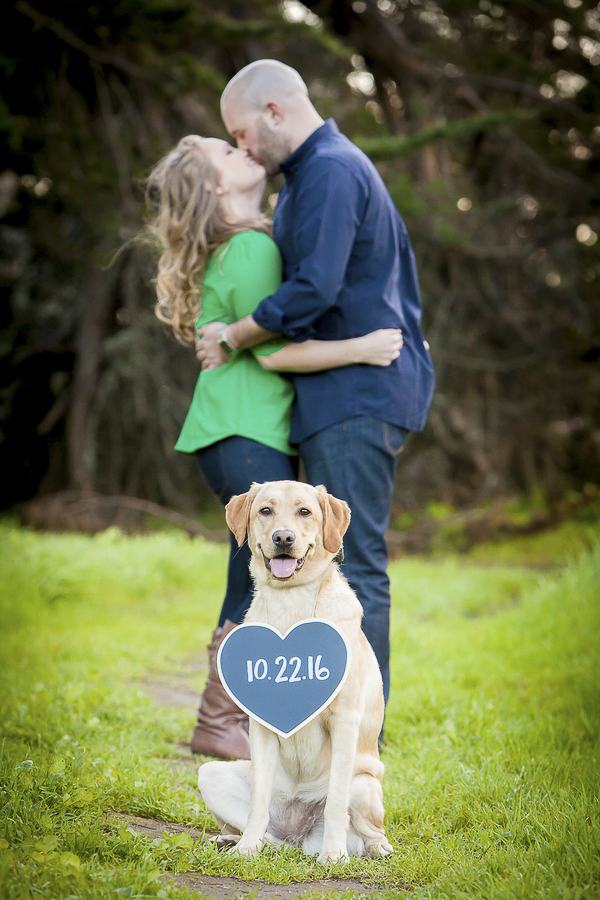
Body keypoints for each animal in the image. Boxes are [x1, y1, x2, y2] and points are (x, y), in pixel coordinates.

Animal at [198, 482, 394, 860]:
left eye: (305, 512)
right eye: (265, 511)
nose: (283, 538)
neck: (290, 604)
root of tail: (298, 837)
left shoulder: (344, 720)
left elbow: (335, 803)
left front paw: (333, 857)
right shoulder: (260, 723)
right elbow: (257, 802)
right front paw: (246, 849)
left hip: (363, 783)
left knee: (368, 828)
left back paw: (371, 848)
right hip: (210, 771)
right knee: (267, 835)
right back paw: (239, 842)